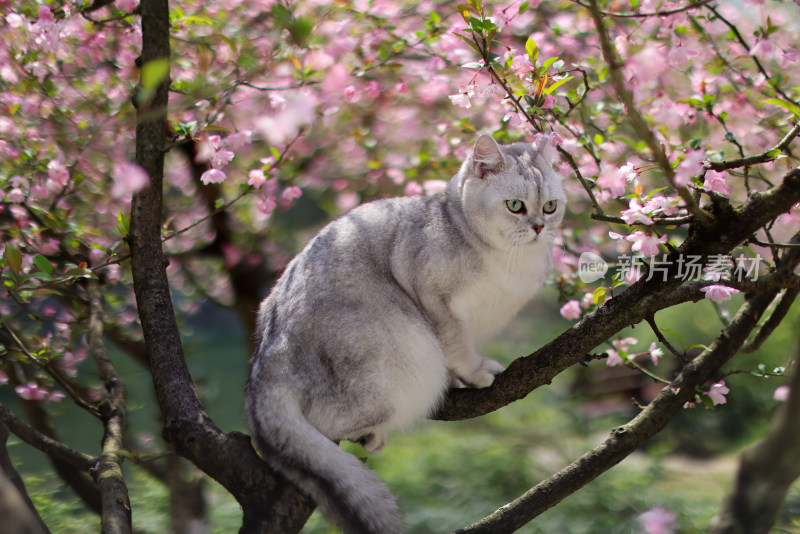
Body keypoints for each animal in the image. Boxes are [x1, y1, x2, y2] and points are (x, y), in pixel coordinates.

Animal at [247, 135, 564, 534]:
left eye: (550, 207)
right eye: (516, 206)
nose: (538, 227)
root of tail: (266, 356)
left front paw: (460, 378)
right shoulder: (435, 299)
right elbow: (457, 344)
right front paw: (475, 373)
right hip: (401, 357)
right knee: (323, 420)